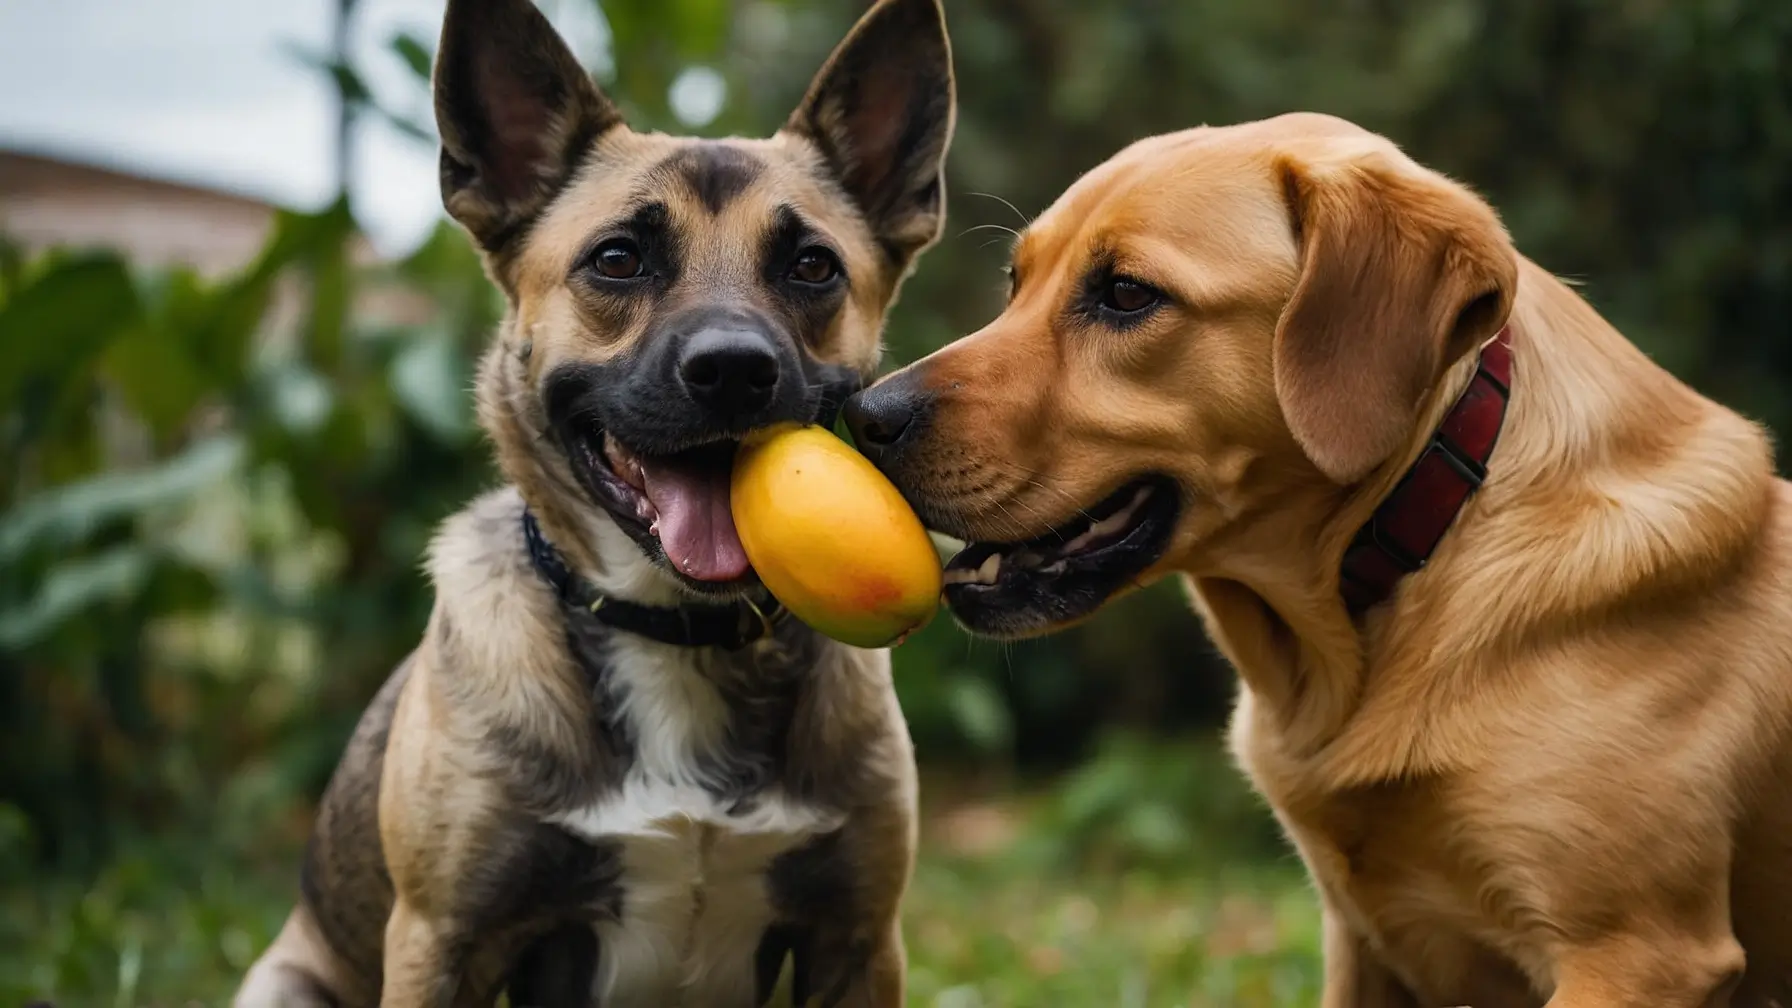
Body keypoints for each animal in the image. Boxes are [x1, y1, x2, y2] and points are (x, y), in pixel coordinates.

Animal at [241, 1, 953, 1004]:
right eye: (619, 259)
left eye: (813, 267)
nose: (734, 371)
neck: (677, 634)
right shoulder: (440, 940)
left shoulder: (857, 942)